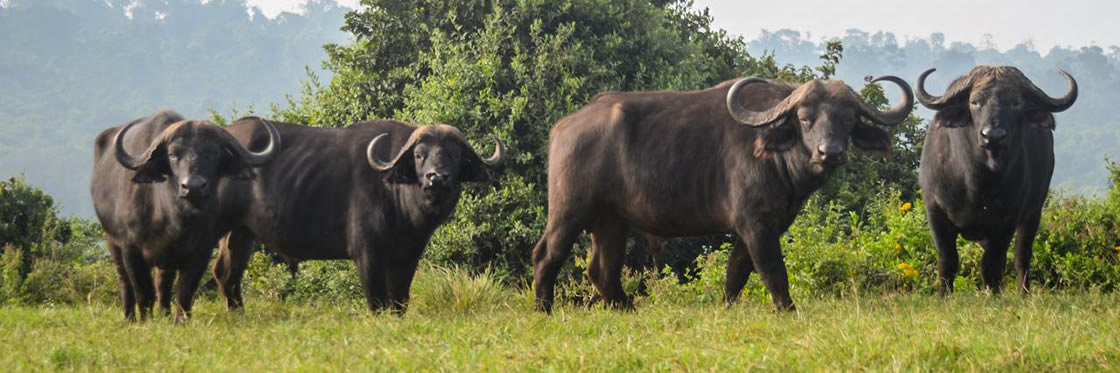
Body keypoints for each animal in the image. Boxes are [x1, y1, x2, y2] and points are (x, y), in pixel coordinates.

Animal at [89, 108, 277, 320]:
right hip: (112, 240)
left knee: (163, 283)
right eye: (172, 155)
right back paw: (129, 318)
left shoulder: (200, 251)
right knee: (125, 283)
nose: (193, 187)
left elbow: (184, 293)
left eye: (213, 154)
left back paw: (164, 314)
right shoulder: (131, 249)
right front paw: (145, 321)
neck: (172, 217)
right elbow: (143, 293)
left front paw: (180, 321)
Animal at [209, 117, 504, 311]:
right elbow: (378, 301)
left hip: (241, 232)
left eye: (454, 155)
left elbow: (400, 299)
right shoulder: (367, 254)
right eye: (419, 155)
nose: (436, 177)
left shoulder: (408, 256)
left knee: (227, 273)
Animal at [530, 75, 909, 311]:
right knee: (547, 256)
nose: (830, 152)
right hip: (568, 211)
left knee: (602, 270)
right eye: (804, 118)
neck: (776, 155)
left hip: (611, 223)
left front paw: (726, 307)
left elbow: (737, 271)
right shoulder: (756, 223)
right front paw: (788, 309)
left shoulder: (761, 226)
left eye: (848, 119)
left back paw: (626, 308)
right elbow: (772, 270)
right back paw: (544, 308)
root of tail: (563, 127)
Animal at [918, 65, 1075, 295]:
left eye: (1015, 103)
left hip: (1033, 214)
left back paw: (1023, 293)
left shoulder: (1007, 221)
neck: (977, 183)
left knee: (1022, 256)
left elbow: (992, 264)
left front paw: (993, 294)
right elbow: (948, 261)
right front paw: (944, 294)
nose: (993, 136)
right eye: (975, 102)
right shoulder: (936, 213)